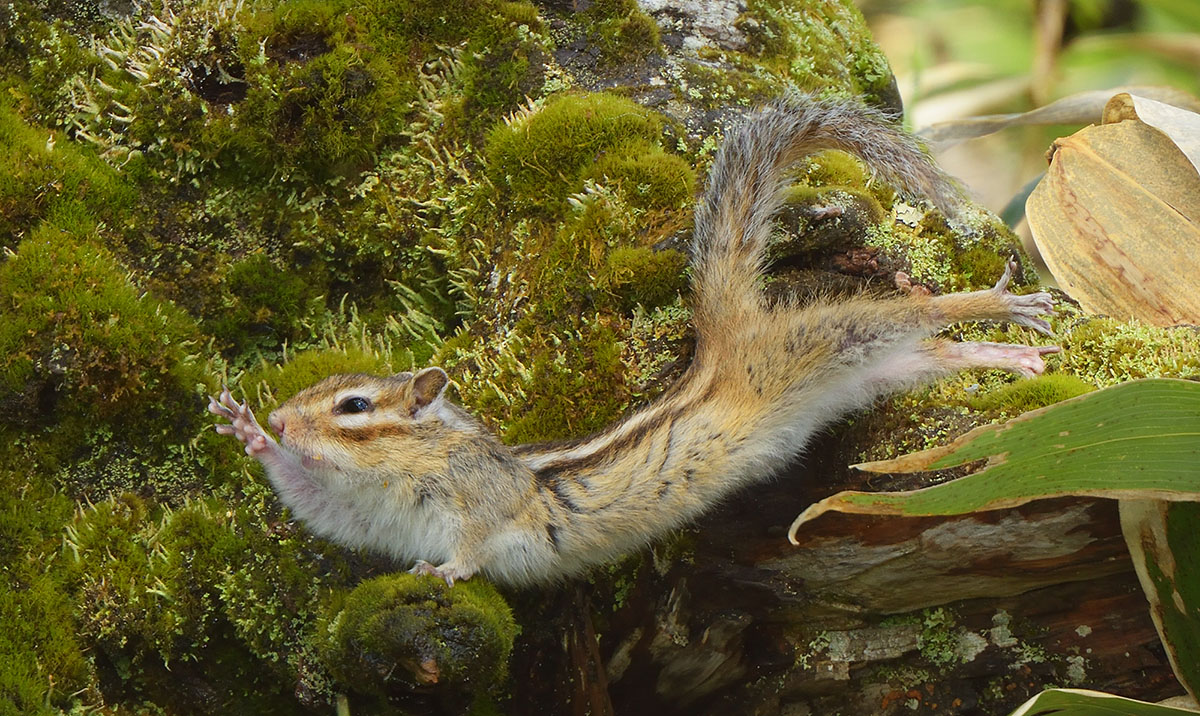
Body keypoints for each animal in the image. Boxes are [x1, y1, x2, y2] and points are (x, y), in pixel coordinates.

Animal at [210, 94, 1058, 587]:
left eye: (353, 405)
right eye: (312, 397)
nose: (282, 418)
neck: (408, 468)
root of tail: (722, 339)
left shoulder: (482, 502)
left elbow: (476, 546)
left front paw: (445, 574)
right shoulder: (361, 521)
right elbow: (316, 509)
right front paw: (246, 430)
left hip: (817, 338)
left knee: (913, 316)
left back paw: (1003, 305)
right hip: (846, 374)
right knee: (929, 354)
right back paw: (1006, 353)